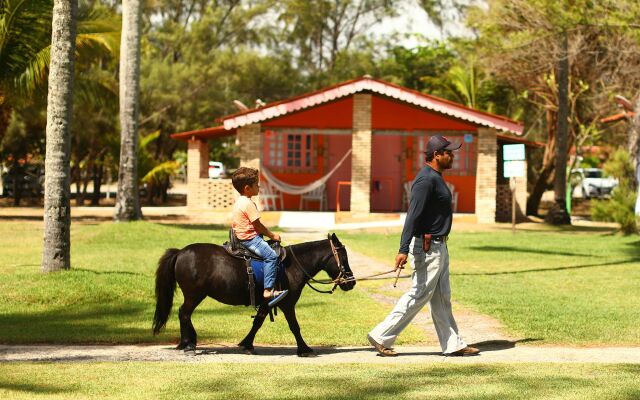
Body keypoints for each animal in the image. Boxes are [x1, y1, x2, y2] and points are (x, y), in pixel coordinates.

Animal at [153, 231, 358, 356]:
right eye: (343, 257)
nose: (351, 282)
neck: (292, 265)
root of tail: (181, 252)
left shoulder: (267, 303)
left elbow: (257, 323)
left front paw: (247, 344)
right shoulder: (287, 304)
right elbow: (295, 326)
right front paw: (304, 349)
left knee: (185, 314)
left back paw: (190, 341)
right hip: (194, 295)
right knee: (184, 313)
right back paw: (187, 343)